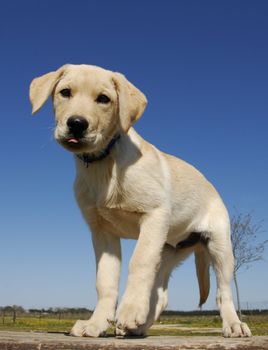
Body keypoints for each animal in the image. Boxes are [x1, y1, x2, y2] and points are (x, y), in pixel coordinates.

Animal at [29, 64, 251, 338]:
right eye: (65, 92)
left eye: (104, 99)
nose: (77, 124)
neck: (105, 162)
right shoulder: (102, 232)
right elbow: (105, 281)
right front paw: (96, 323)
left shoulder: (154, 216)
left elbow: (139, 262)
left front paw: (129, 310)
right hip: (167, 253)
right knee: (160, 296)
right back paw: (138, 328)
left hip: (219, 246)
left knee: (223, 292)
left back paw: (233, 324)